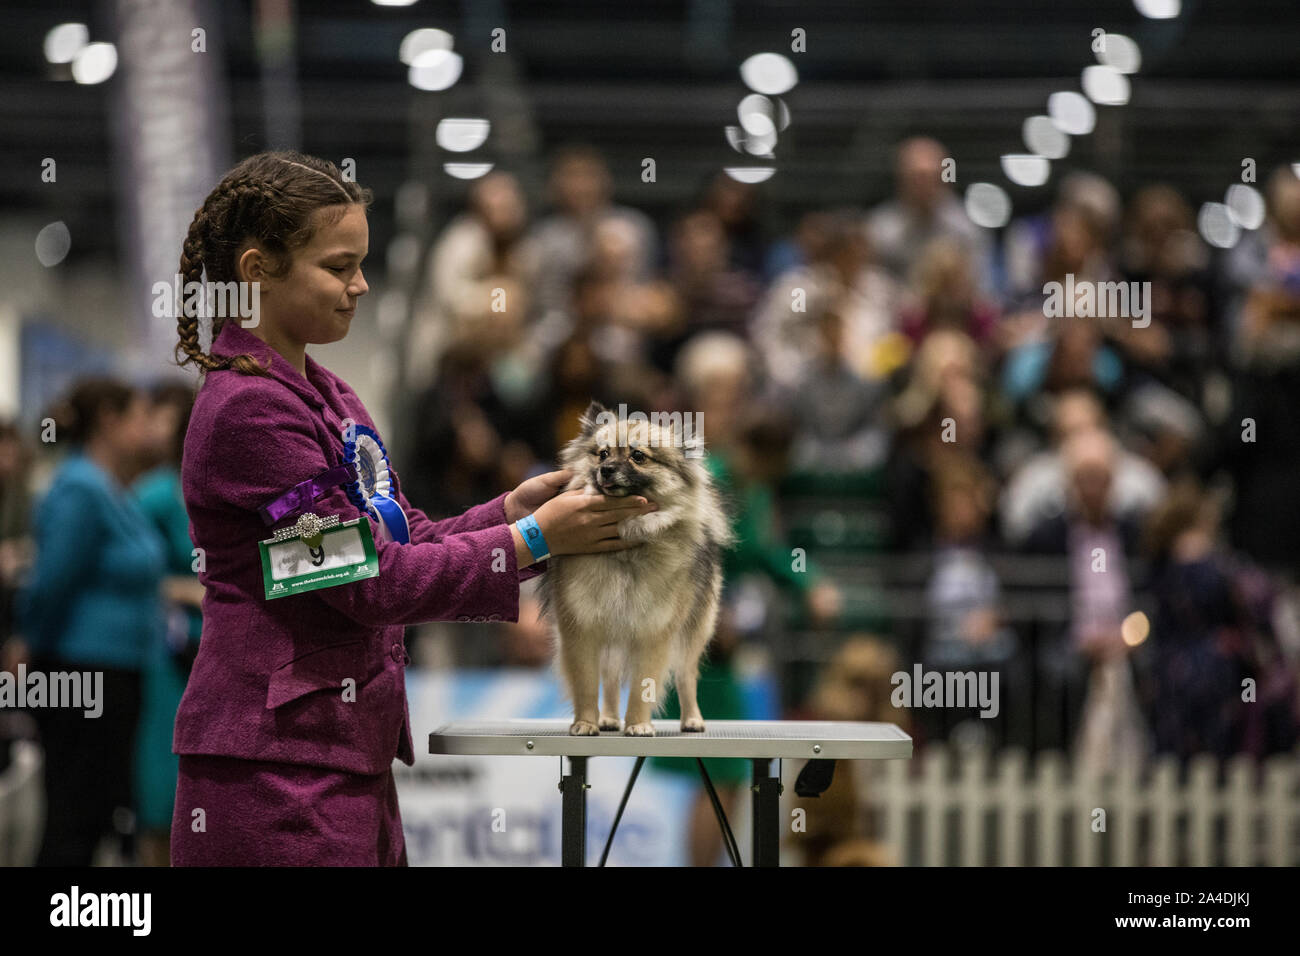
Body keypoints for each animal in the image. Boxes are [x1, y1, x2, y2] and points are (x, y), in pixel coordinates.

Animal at [535, 400, 733, 738]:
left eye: (638, 456)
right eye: (602, 454)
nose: (606, 469)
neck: (625, 544)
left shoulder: (654, 631)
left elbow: (645, 683)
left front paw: (638, 724)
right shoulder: (581, 628)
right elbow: (587, 683)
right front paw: (586, 722)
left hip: (693, 632)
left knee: (686, 675)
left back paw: (692, 720)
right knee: (611, 679)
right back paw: (609, 718)